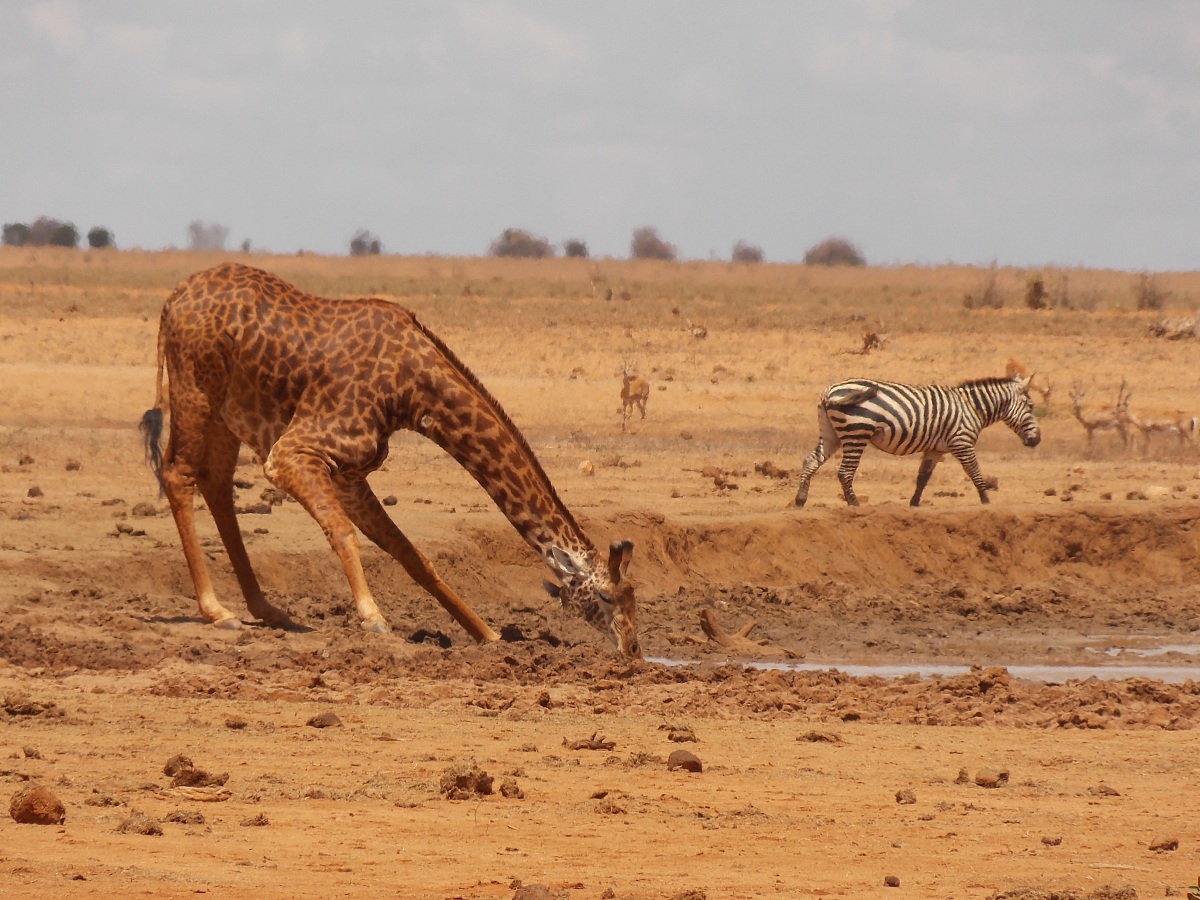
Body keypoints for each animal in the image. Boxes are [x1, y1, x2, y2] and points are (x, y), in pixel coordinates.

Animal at [139, 263, 640, 657]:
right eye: (608, 597)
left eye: (635, 595)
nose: (634, 651)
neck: (410, 388)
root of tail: (172, 299)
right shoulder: (294, 452)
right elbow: (343, 533)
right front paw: (374, 619)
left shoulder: (350, 475)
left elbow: (413, 556)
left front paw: (488, 635)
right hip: (195, 390)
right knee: (178, 474)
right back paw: (216, 610)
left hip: (228, 412)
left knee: (216, 484)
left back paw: (269, 610)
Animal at [793, 374, 1041, 508]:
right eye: (1030, 406)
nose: (1037, 440)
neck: (973, 407)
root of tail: (829, 391)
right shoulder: (962, 442)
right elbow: (975, 472)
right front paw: (986, 500)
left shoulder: (934, 449)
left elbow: (923, 477)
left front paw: (914, 503)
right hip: (857, 431)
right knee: (845, 471)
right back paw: (854, 503)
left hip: (831, 433)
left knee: (811, 460)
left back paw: (800, 499)